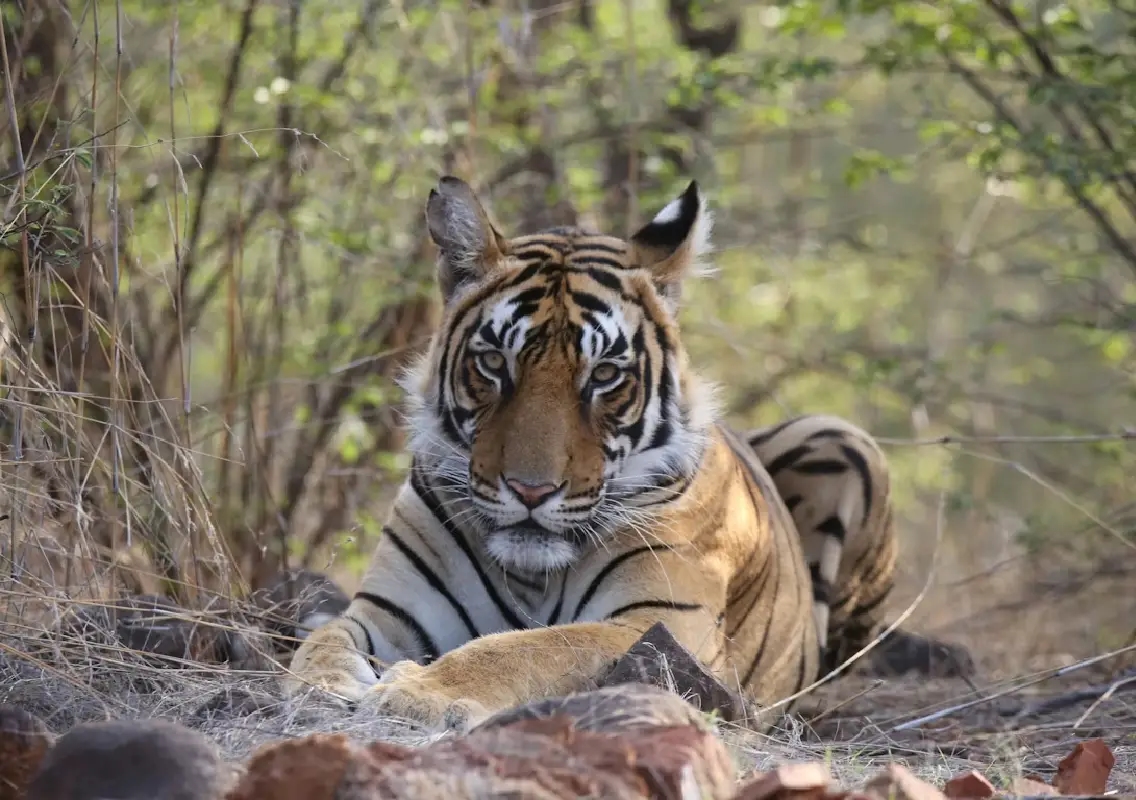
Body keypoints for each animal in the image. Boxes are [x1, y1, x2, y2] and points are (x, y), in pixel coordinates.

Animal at [281, 175, 966, 731]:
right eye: (495, 362)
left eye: (605, 375)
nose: (531, 491)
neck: (533, 572)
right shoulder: (389, 610)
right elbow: (325, 640)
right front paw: (324, 683)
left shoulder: (657, 622)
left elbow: (529, 647)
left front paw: (419, 692)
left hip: (842, 438)